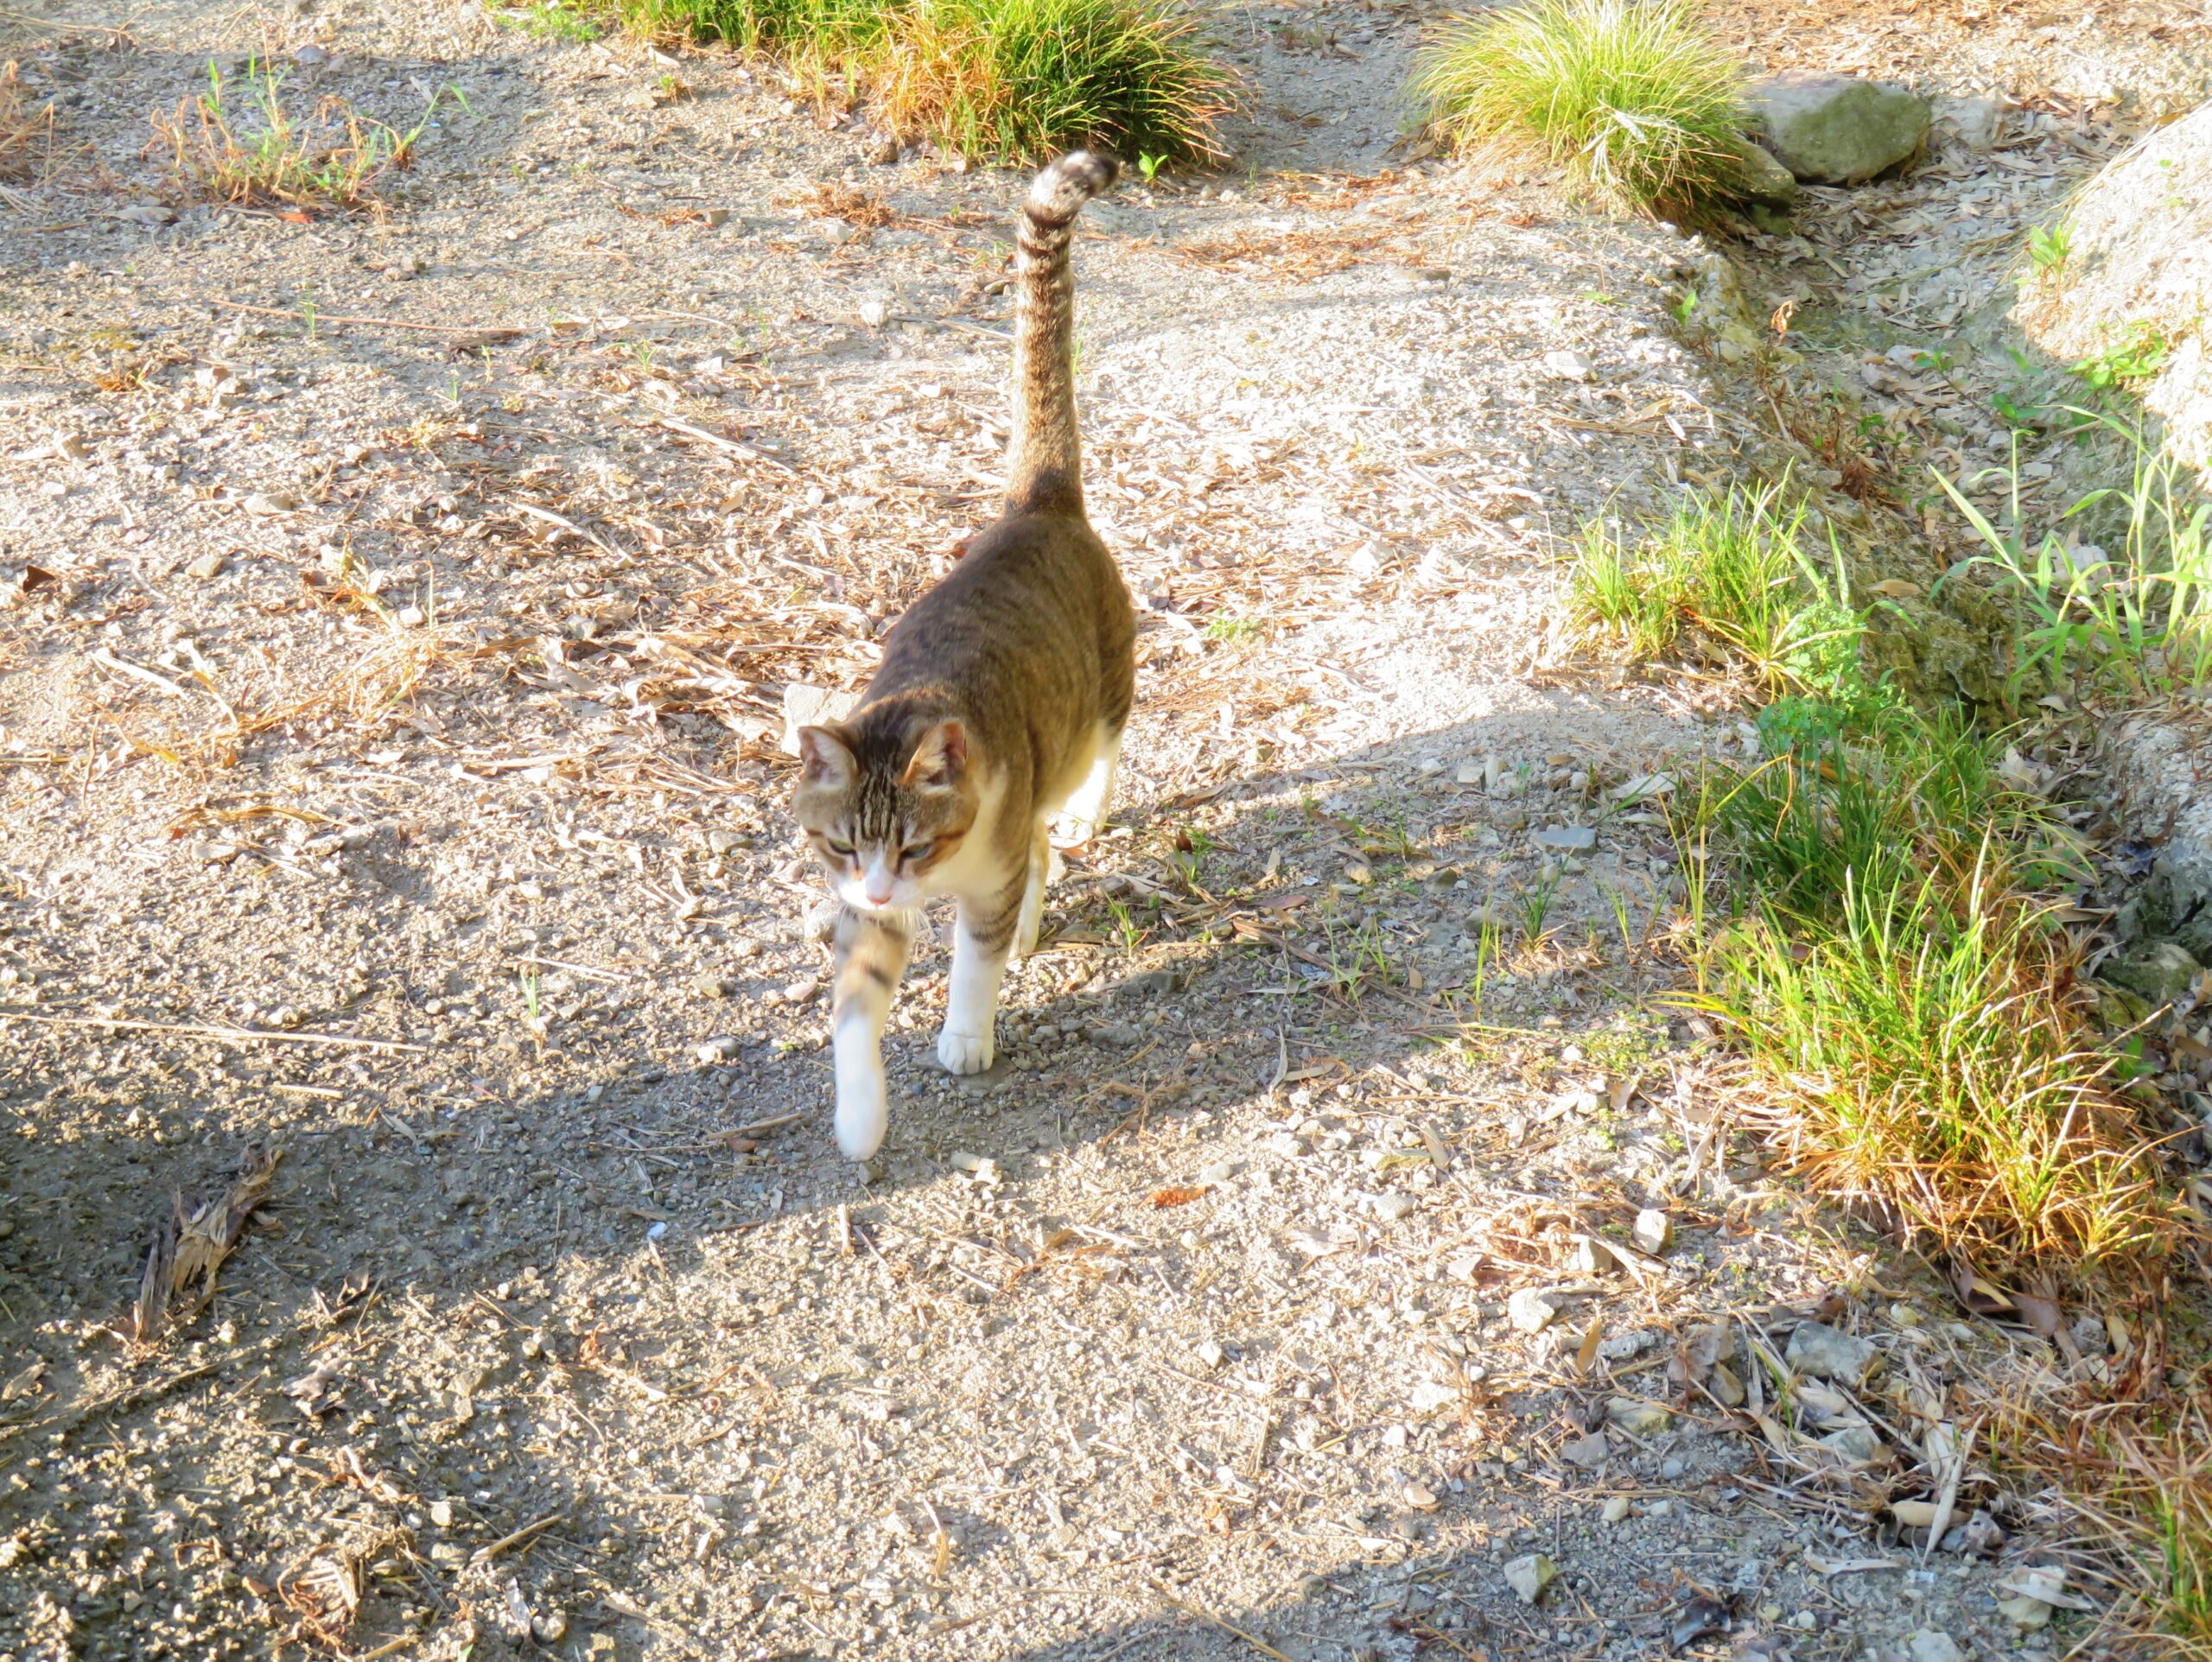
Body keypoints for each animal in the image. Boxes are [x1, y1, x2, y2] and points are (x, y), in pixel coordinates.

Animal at [791, 152, 1132, 1166]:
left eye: (914, 842)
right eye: (840, 844)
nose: (878, 880)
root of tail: (1037, 500)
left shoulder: (982, 870)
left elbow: (975, 962)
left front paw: (965, 1036)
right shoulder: (866, 914)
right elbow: (855, 1014)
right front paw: (861, 1121)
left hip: (1102, 692)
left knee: (1095, 765)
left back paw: (1084, 820)